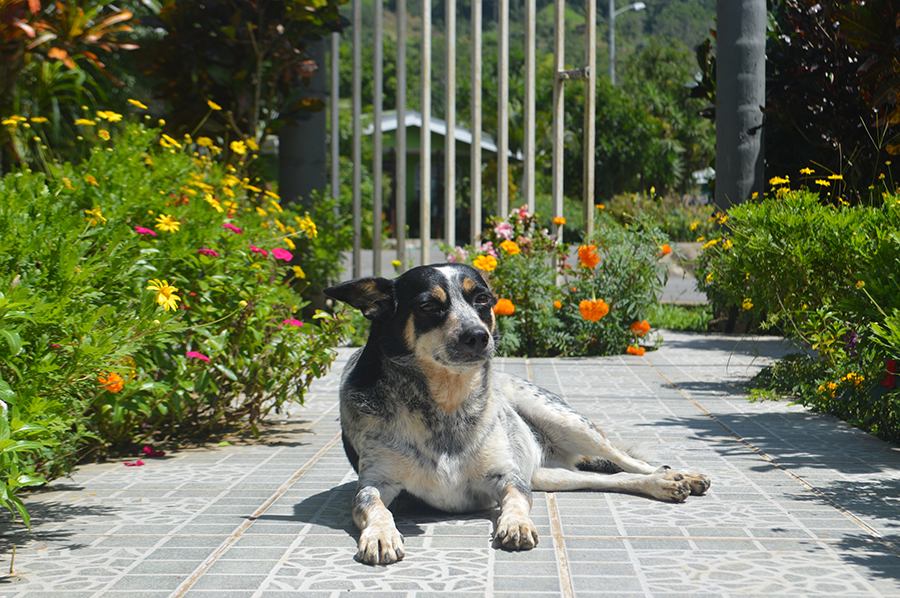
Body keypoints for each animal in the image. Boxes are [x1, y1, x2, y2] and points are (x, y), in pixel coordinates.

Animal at [324, 266, 712, 568]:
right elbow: (373, 505)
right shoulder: (376, 482)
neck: (446, 403)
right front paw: (380, 535)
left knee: (631, 462)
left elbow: (514, 499)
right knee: (613, 479)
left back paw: (677, 475)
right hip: (551, 476)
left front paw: (516, 524)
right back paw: (663, 483)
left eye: (483, 299)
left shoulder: (509, 477)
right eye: (429, 305)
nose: (478, 336)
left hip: (563, 419)